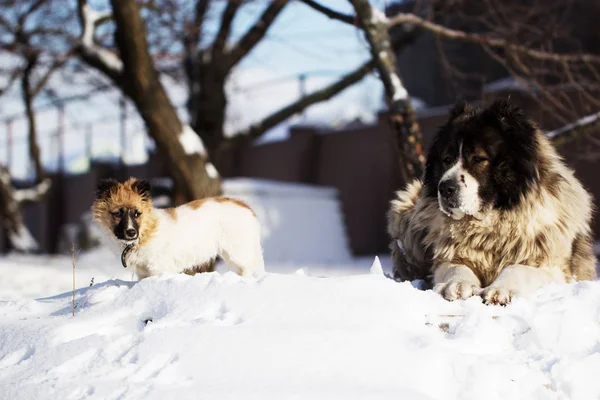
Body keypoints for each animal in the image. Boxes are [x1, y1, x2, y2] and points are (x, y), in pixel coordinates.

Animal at [92, 178, 264, 282]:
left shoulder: (159, 269)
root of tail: (246, 207)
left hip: (238, 251)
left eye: (137, 214)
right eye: (118, 214)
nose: (131, 233)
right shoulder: (143, 273)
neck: (145, 233)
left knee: (248, 269)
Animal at [386, 101, 596, 306]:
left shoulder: (553, 268)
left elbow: (518, 268)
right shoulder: (447, 258)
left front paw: (500, 289)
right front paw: (457, 285)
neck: (491, 225)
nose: (445, 188)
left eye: (478, 159)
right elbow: (456, 267)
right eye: (447, 159)